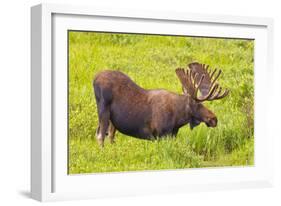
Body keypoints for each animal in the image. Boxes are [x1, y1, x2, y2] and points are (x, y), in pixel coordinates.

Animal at [93, 62, 229, 146]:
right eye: (198, 104)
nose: (214, 119)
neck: (178, 119)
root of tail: (94, 79)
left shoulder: (172, 134)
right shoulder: (159, 135)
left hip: (112, 121)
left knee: (109, 135)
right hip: (103, 110)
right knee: (100, 135)